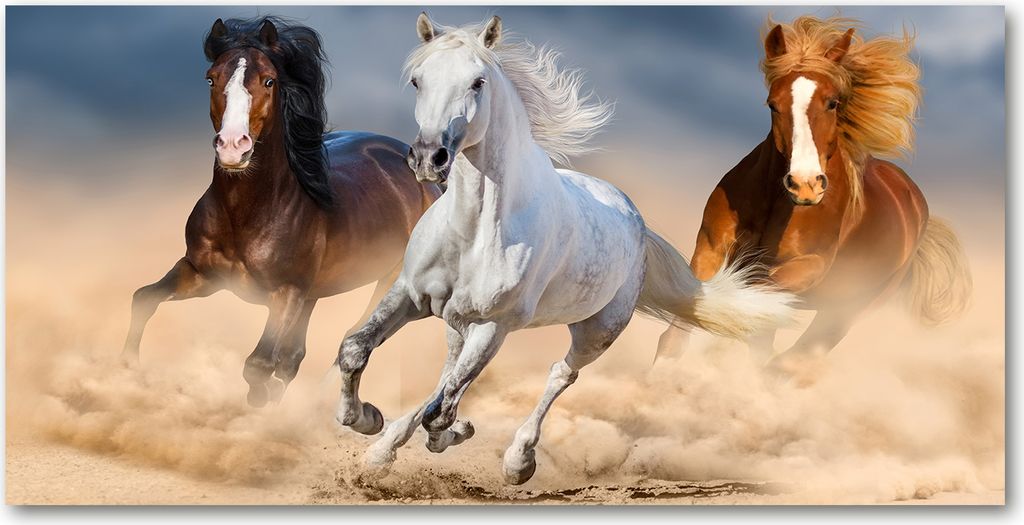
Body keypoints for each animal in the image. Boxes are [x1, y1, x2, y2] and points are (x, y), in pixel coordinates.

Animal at [121, 17, 441, 407]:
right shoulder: (202, 274)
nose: (233, 147)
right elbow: (144, 299)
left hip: (390, 281)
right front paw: (128, 370)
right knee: (294, 356)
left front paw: (259, 406)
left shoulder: (285, 293)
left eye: (269, 80)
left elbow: (258, 364)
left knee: (353, 339)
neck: (247, 213)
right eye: (211, 78)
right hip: (314, 293)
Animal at [333, 13, 797, 485]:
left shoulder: (494, 326)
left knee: (559, 374)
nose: (430, 158)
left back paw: (518, 461)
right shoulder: (410, 294)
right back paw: (386, 447)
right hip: (458, 321)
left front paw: (449, 433)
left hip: (597, 331)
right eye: (417, 80)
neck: (474, 231)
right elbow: (356, 350)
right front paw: (367, 420)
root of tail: (635, 219)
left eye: (478, 82)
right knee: (449, 370)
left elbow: (441, 410)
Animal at [655, 16, 972, 374]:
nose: (805, 185)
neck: (774, 205)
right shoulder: (710, 249)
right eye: (773, 104)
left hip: (846, 311)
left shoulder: (807, 268)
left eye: (832, 102)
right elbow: (679, 330)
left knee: (788, 360)